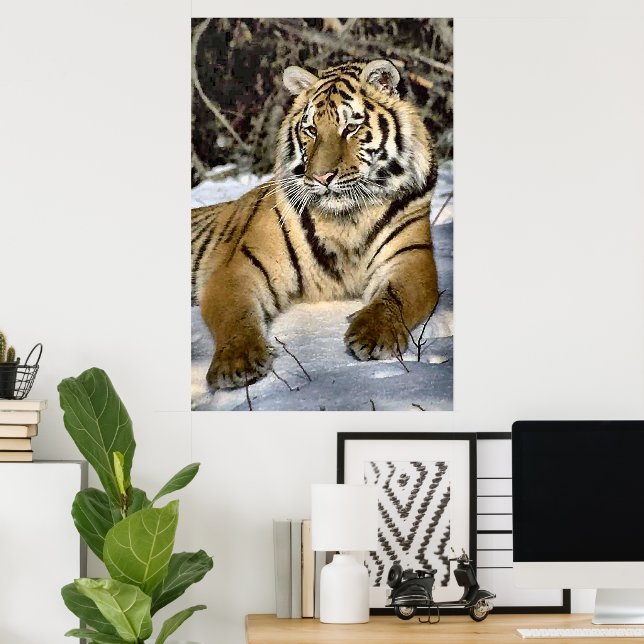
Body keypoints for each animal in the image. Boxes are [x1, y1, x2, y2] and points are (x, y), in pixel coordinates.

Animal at [192, 59, 439, 390]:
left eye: (351, 127)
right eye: (311, 130)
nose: (322, 177)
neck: (346, 219)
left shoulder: (411, 258)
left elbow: (394, 299)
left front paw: (372, 334)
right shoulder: (238, 268)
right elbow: (236, 315)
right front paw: (237, 362)